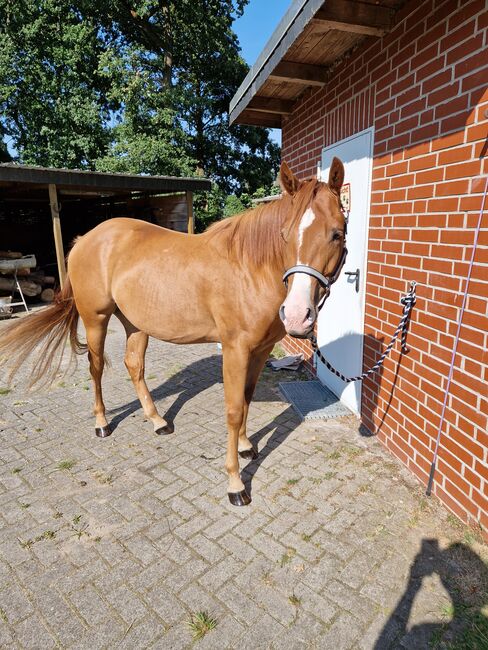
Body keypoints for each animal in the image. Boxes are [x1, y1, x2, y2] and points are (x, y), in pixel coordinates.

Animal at [0, 159, 346, 504]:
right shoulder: (235, 350)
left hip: (136, 324)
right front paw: (235, 483)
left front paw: (247, 446)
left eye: (337, 234)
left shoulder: (259, 351)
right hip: (95, 319)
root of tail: (85, 240)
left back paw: (158, 421)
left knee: (134, 366)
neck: (250, 268)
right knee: (96, 368)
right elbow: (234, 410)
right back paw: (101, 424)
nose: (298, 315)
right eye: (285, 235)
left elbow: (246, 399)